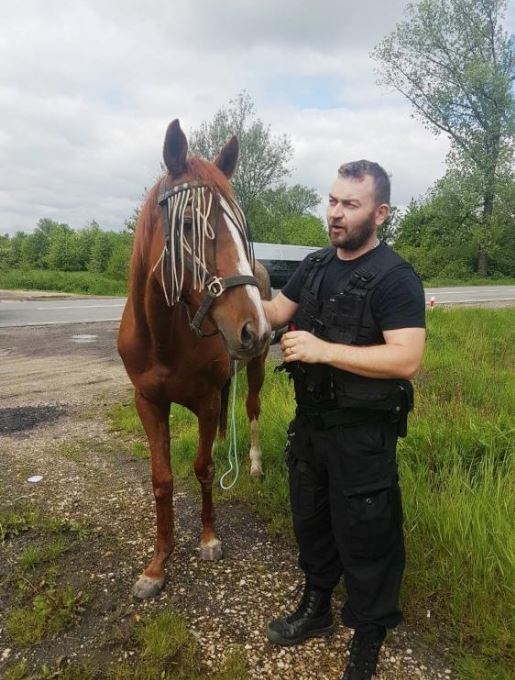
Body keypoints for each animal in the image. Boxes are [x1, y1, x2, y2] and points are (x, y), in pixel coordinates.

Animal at [118, 119, 272, 596]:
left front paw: (208, 538)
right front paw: (157, 564)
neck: (165, 339)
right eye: (187, 224)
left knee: (251, 409)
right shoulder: (149, 402)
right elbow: (162, 479)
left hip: (255, 370)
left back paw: (253, 464)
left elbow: (203, 469)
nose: (253, 328)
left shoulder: (204, 400)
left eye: (241, 228)